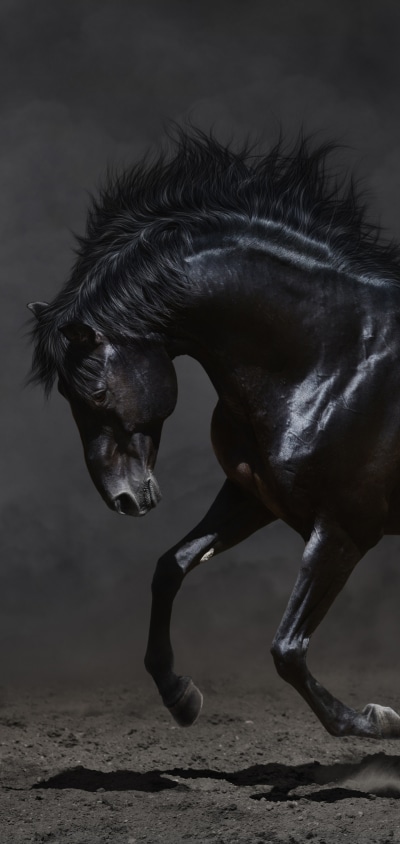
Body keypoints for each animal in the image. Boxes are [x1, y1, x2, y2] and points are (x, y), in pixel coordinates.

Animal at [28, 129, 400, 739]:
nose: (122, 498)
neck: (337, 356)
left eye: (96, 392)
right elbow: (171, 567)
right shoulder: (253, 497)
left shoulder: (344, 529)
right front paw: (180, 695)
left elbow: (287, 649)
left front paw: (375, 721)